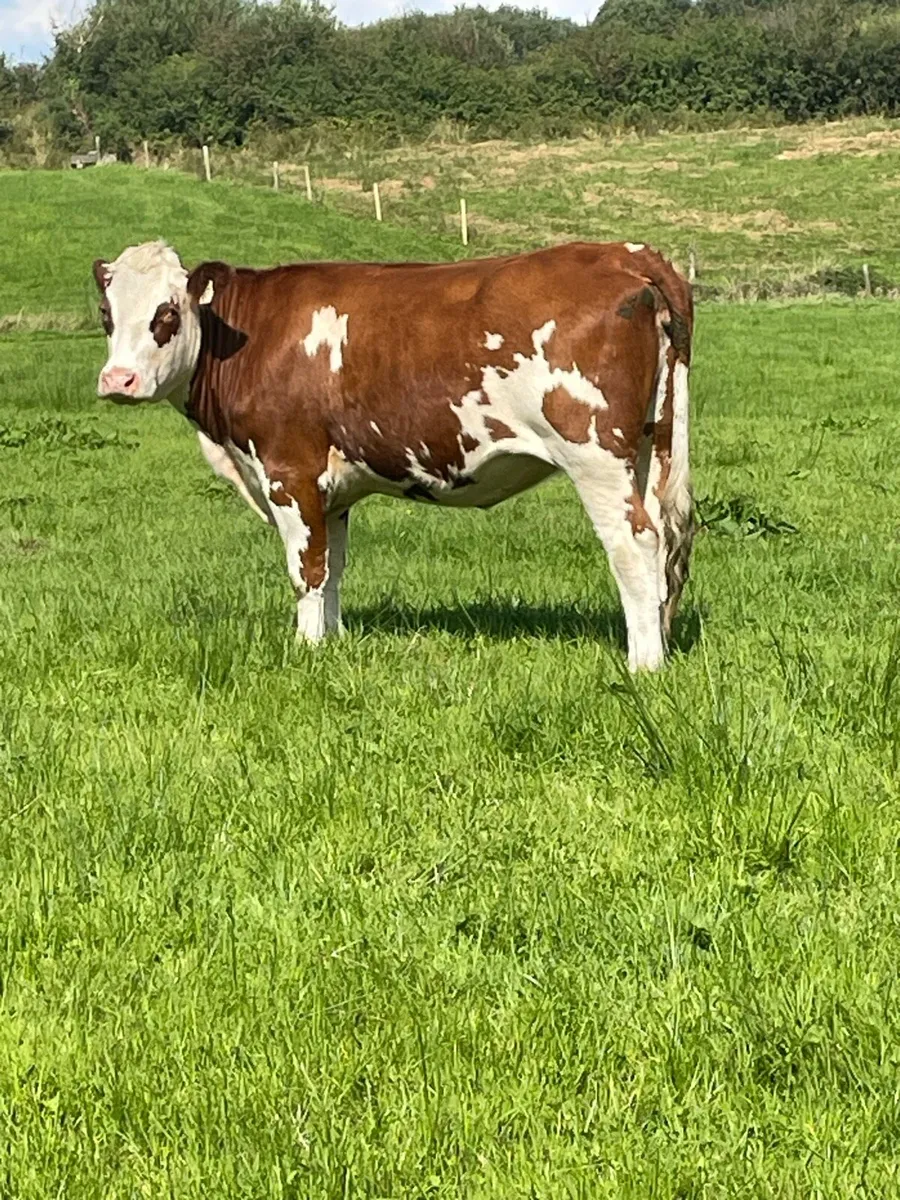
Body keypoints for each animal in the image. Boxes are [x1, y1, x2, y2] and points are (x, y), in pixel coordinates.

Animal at [93, 239, 693, 671]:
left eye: (167, 313)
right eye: (106, 314)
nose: (117, 380)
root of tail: (625, 253)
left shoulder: (290, 472)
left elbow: (306, 570)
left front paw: (305, 649)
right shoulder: (332, 492)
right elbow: (333, 567)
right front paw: (331, 642)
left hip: (595, 455)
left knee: (634, 544)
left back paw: (644, 663)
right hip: (648, 447)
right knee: (665, 540)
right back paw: (660, 642)